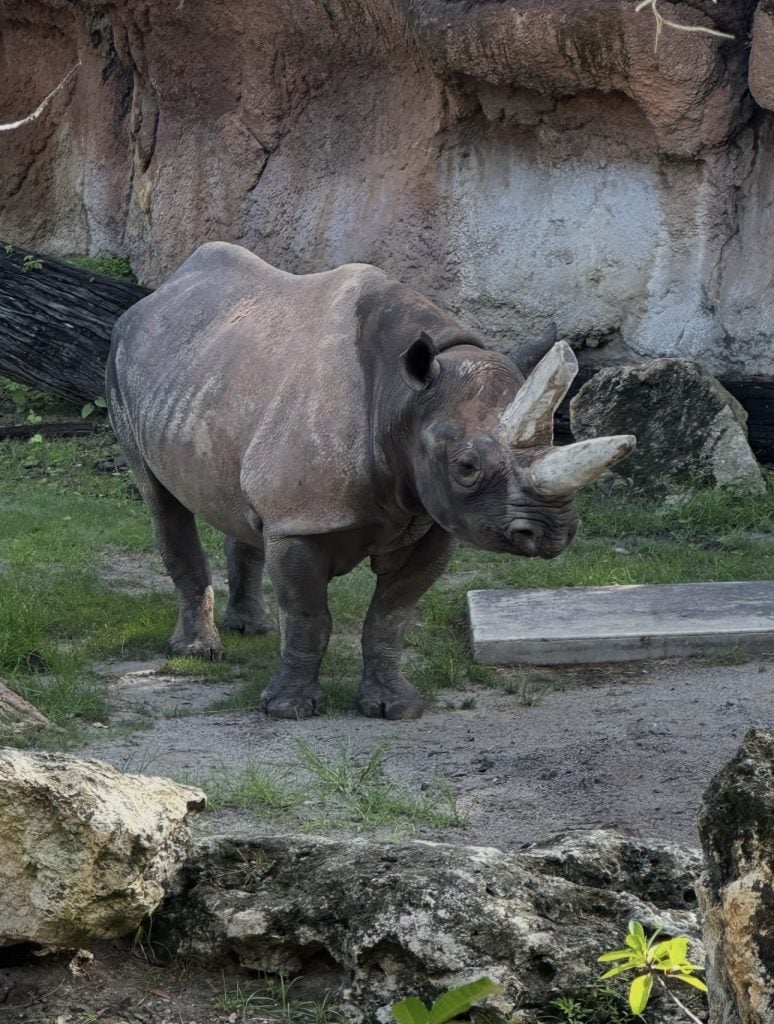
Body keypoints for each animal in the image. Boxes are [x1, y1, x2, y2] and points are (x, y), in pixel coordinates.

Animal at [107, 242, 634, 720]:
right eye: (466, 467)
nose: (552, 534)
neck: (405, 398)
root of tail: (158, 296)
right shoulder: (302, 521)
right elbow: (308, 616)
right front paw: (288, 709)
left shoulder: (429, 520)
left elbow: (390, 617)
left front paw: (393, 707)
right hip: (121, 359)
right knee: (161, 499)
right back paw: (197, 652)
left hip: (211, 374)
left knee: (243, 506)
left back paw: (252, 628)